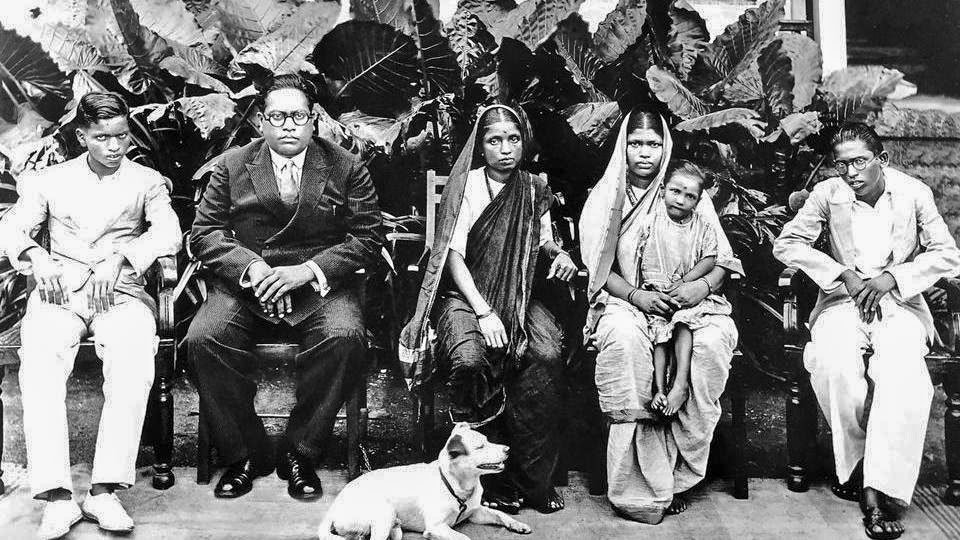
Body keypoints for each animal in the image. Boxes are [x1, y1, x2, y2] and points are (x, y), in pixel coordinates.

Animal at [320, 424, 532, 536]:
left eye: (488, 440)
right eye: (480, 447)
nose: (508, 449)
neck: (456, 485)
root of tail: (332, 509)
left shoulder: (475, 512)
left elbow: (500, 514)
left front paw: (517, 524)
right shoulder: (436, 527)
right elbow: (463, 538)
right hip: (384, 512)